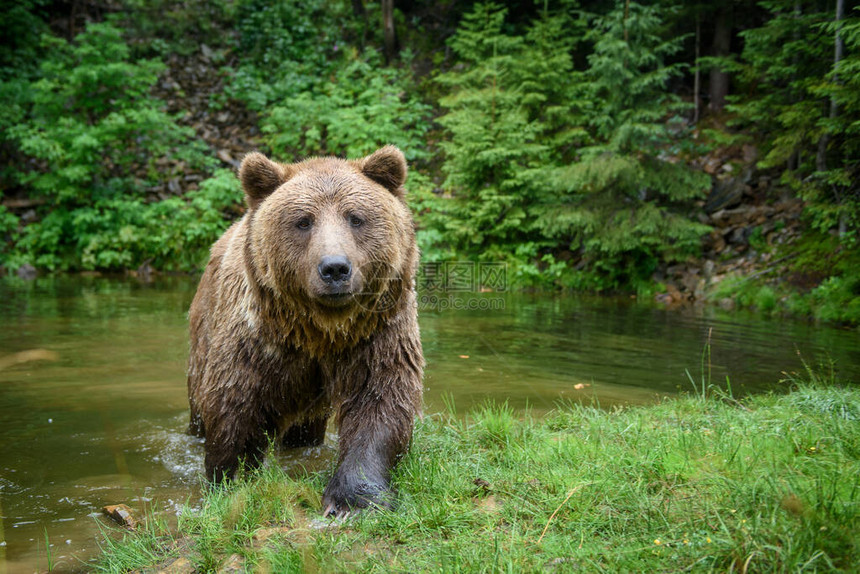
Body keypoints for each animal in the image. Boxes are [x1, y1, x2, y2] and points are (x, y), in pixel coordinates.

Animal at [191, 145, 426, 516]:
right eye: (303, 221)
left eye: (355, 217)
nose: (335, 268)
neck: (319, 330)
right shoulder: (256, 342)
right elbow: (235, 406)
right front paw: (232, 480)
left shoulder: (377, 333)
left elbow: (381, 400)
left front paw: (354, 498)